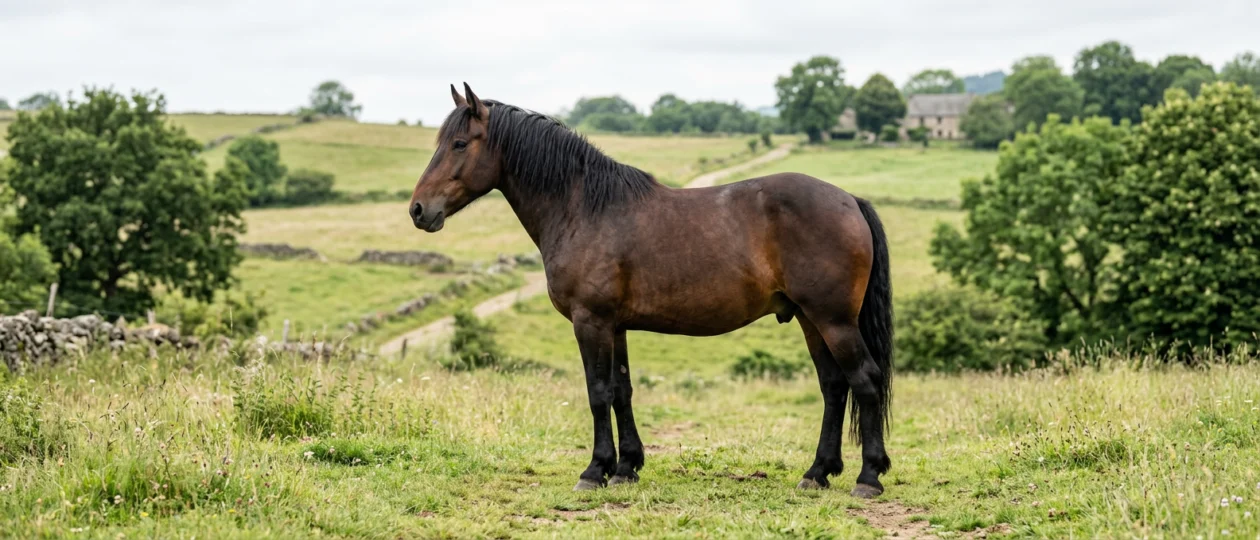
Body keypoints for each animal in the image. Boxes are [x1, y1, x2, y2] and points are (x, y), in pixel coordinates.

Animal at [409, 84, 894, 498]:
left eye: (459, 144)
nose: (418, 210)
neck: (585, 208)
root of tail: (849, 200)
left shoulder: (591, 321)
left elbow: (598, 392)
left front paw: (595, 470)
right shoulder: (615, 326)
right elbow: (621, 390)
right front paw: (626, 468)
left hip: (833, 320)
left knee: (864, 380)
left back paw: (868, 477)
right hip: (812, 319)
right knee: (834, 386)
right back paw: (817, 473)